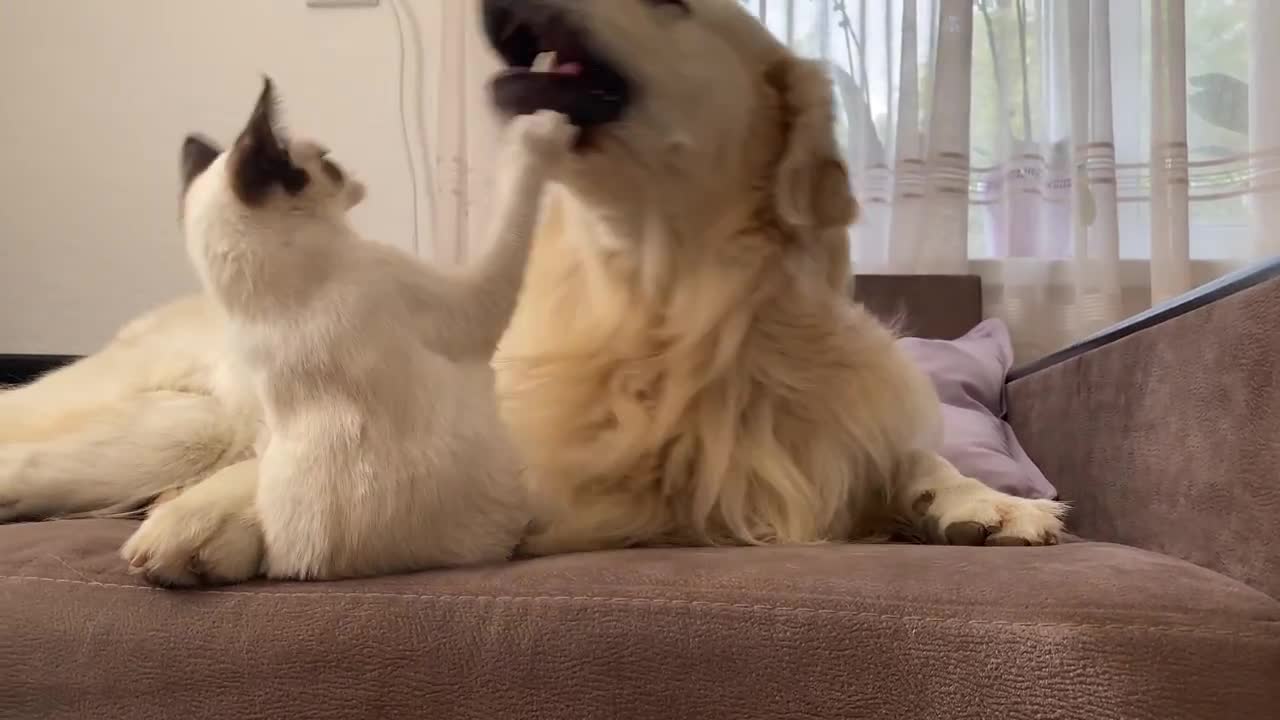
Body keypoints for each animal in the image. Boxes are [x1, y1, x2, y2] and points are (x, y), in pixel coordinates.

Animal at [167, 78, 578, 576]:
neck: (269, 293)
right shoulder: (470, 304)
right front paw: (541, 130)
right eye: (327, 160)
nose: (352, 172)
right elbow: (515, 210)